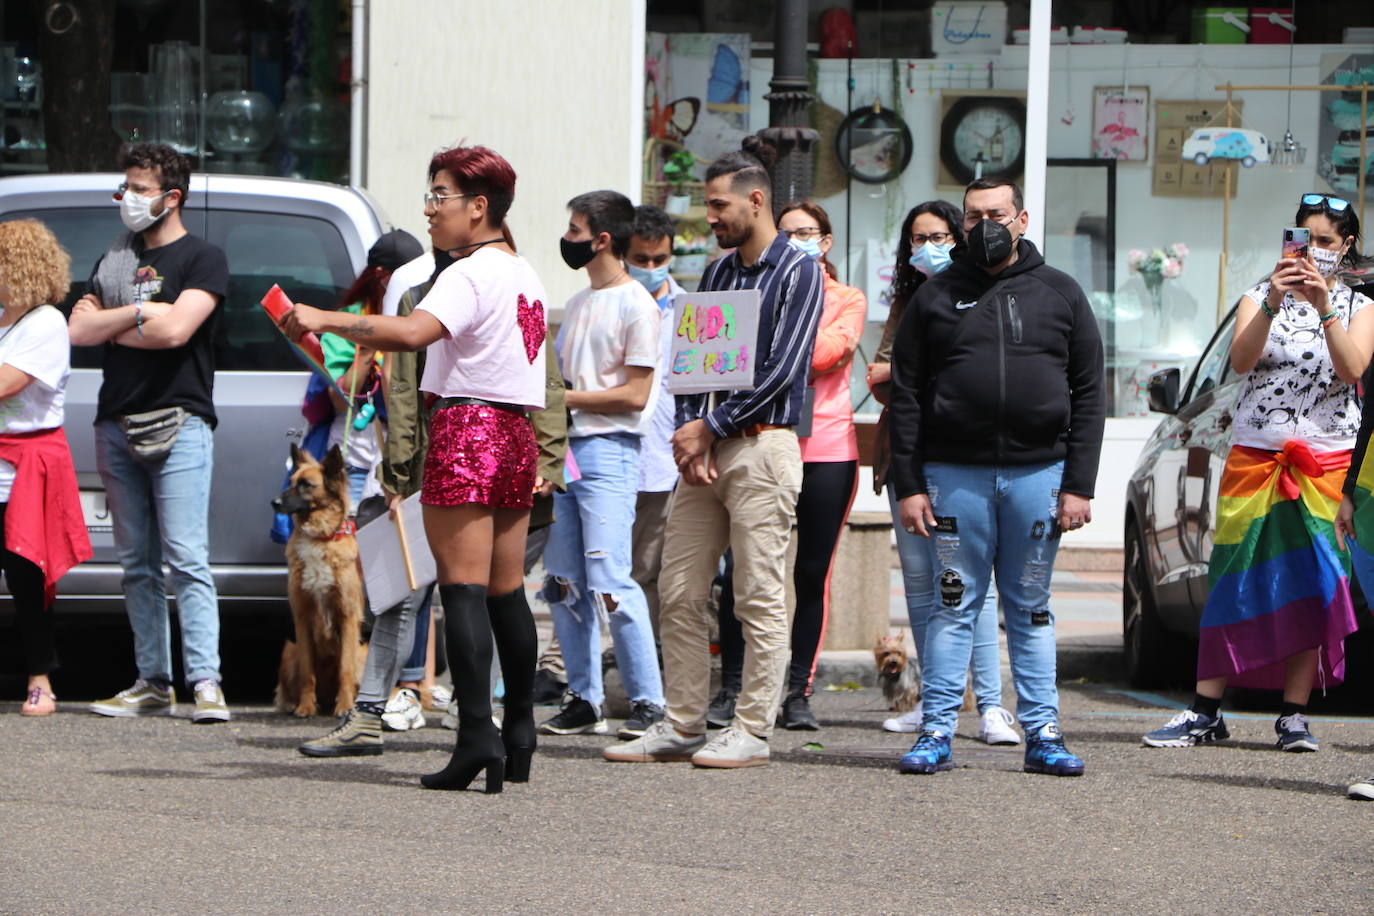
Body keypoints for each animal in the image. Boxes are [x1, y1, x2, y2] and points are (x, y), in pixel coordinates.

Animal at [272, 444, 365, 714]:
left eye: (307, 485)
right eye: (291, 481)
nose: (274, 502)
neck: (319, 538)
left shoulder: (347, 616)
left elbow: (345, 669)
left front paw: (344, 706)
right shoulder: (302, 616)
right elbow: (307, 671)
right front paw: (305, 706)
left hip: (363, 653)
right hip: (289, 652)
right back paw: (297, 704)